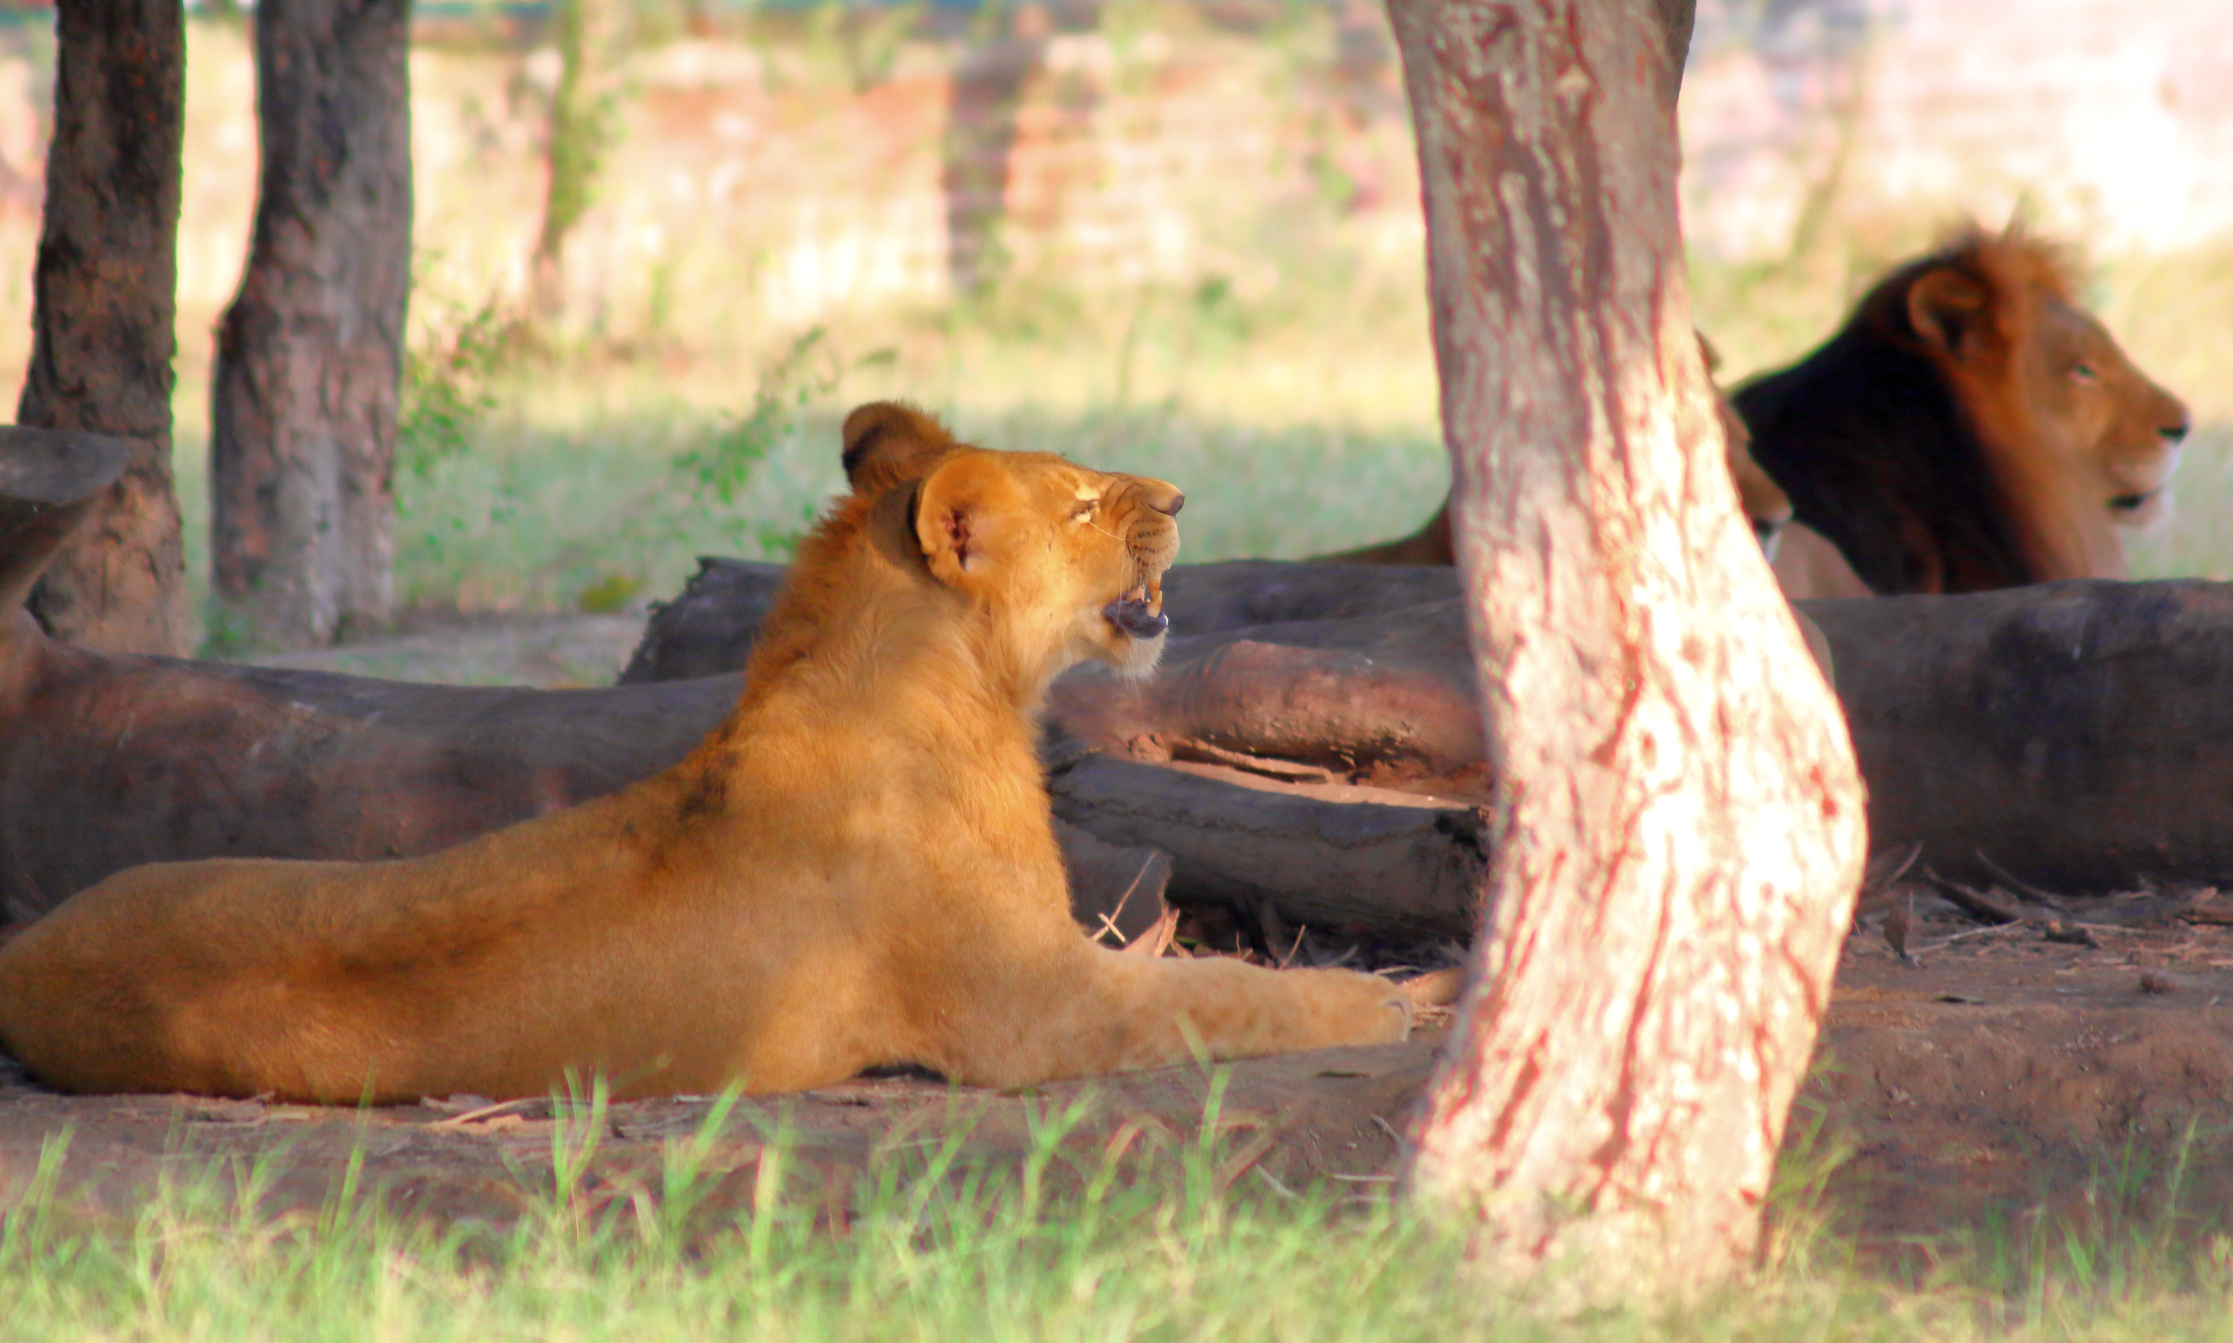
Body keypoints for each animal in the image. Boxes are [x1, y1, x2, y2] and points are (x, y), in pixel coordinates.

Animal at [0, 408, 1402, 1099]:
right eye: (1079, 501)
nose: (1178, 498)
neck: (970, 692)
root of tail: (25, 953)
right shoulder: (1036, 1008)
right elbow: (1242, 992)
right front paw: (1399, 1001)